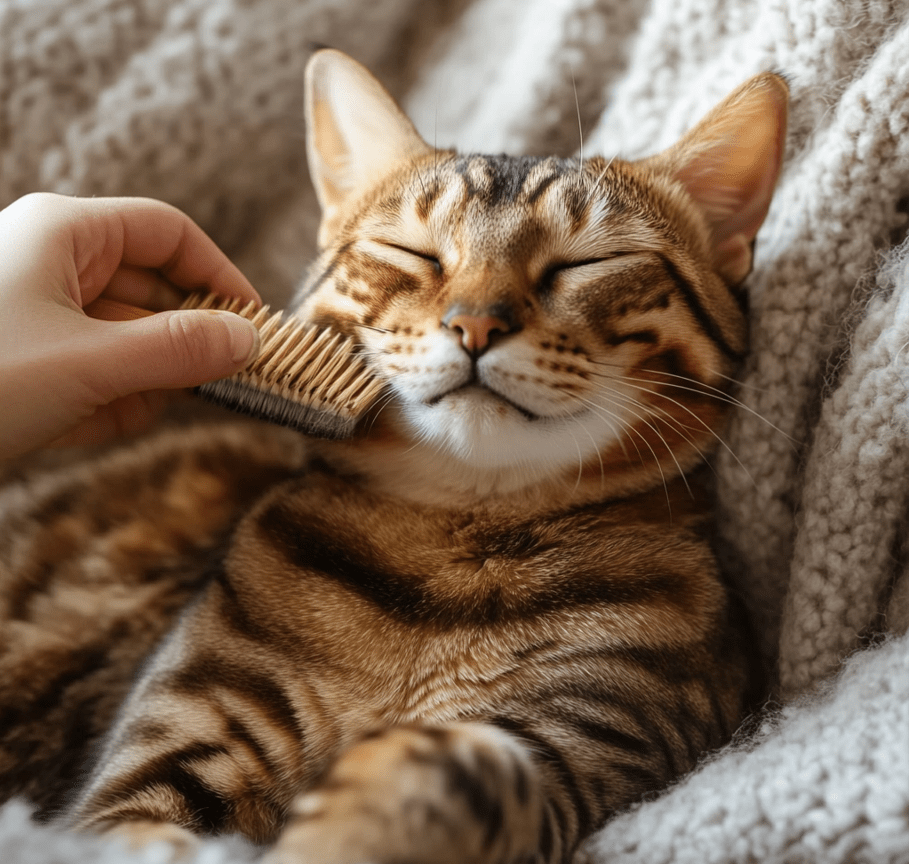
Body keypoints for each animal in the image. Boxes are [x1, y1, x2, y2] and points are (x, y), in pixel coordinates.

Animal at [0, 50, 788, 864]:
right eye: (414, 253)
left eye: (585, 262)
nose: (475, 323)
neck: (452, 558)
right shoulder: (177, 735)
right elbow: (146, 830)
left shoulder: (597, 734)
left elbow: (453, 765)